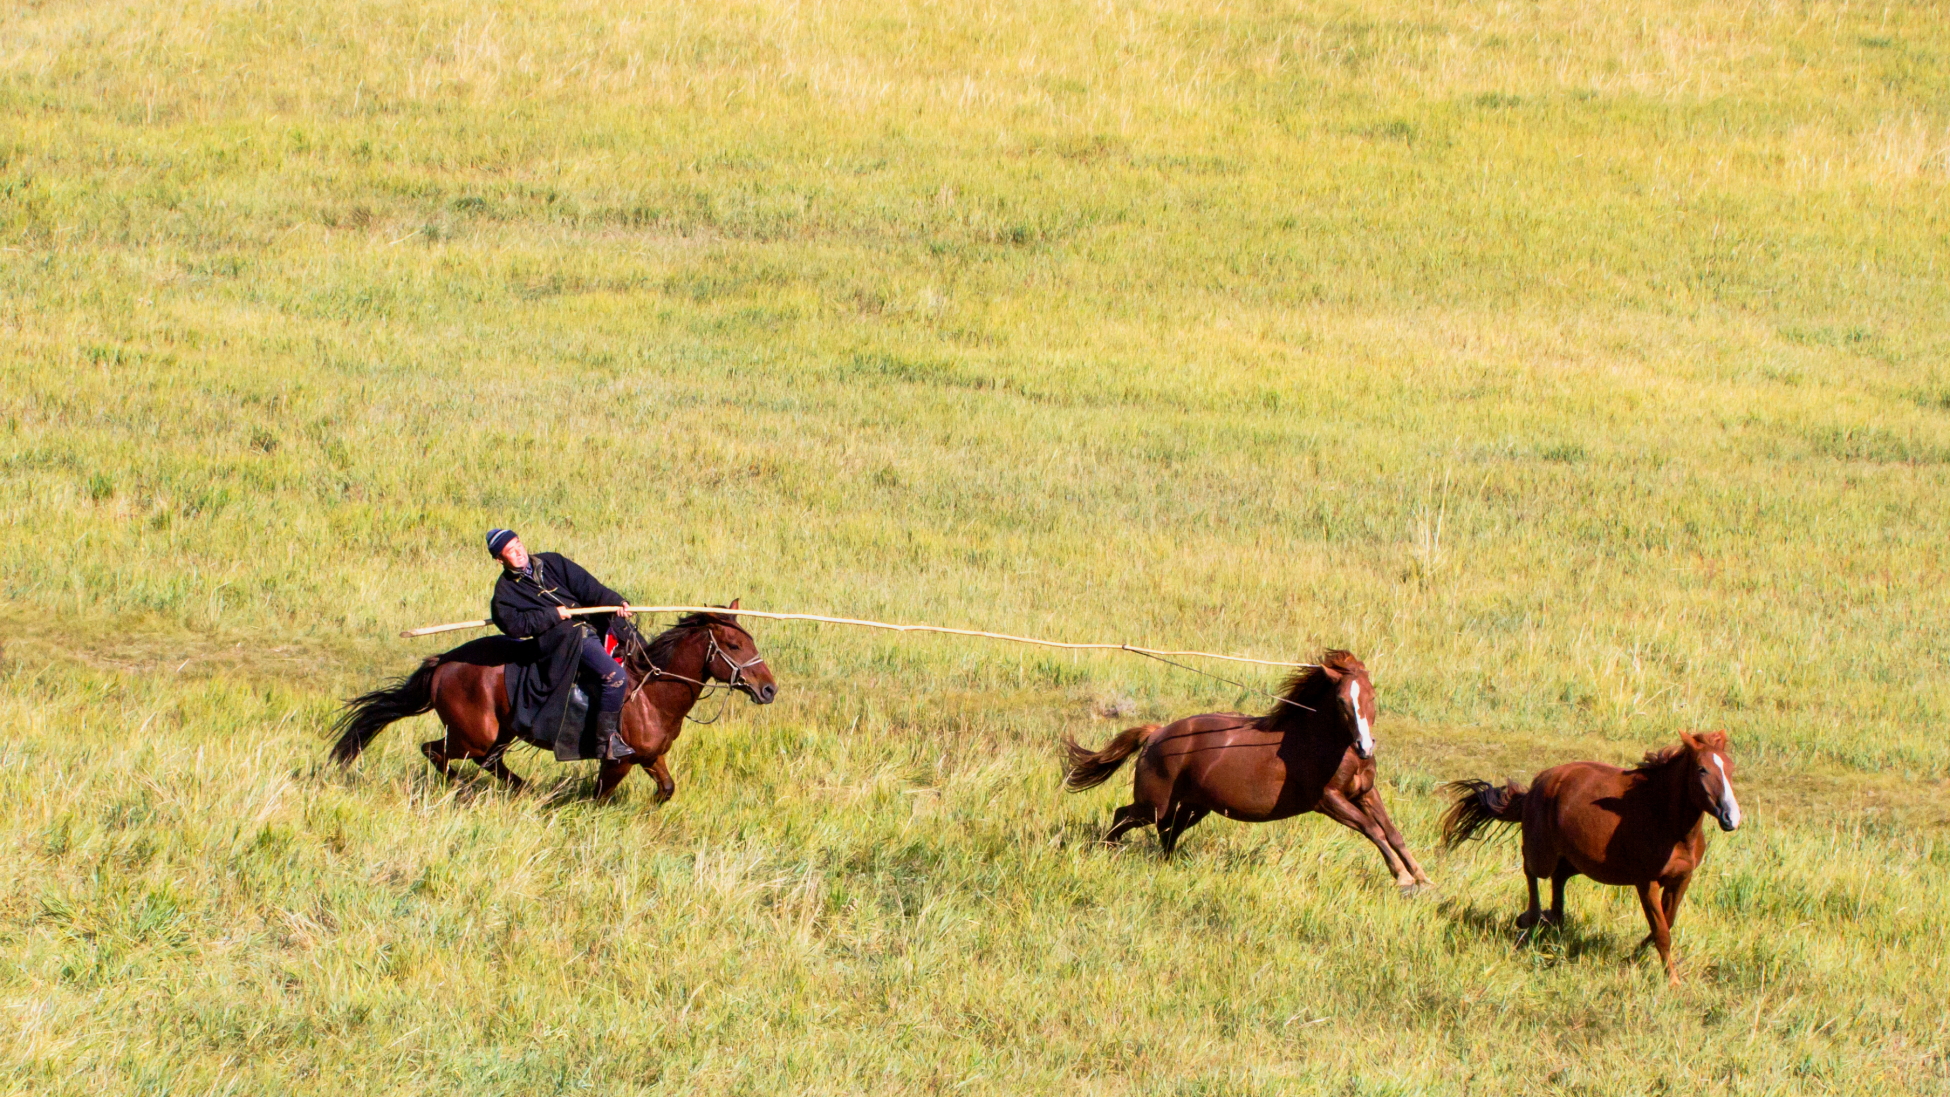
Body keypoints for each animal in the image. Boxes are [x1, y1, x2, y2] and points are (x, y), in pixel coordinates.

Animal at [329, 604, 776, 802]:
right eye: (734, 645)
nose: (769, 689)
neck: (651, 693)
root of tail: (444, 662)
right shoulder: (618, 761)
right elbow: (599, 796)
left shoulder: (651, 757)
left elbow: (666, 788)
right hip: (472, 734)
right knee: (437, 752)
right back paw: (465, 788)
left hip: (500, 733)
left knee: (488, 762)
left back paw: (523, 790)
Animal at [1068, 650, 1435, 892]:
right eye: (1342, 701)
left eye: (1372, 696)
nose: (1365, 746)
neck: (1330, 745)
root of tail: (1156, 733)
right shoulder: (1327, 800)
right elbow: (1371, 829)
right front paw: (1403, 878)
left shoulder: (1365, 793)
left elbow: (1392, 832)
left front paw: (1422, 877)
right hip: (1155, 803)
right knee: (1124, 816)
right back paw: (1108, 852)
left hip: (1193, 806)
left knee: (1167, 832)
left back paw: (1169, 864)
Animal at [1443, 732, 1747, 982]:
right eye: (1702, 769)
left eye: (1730, 768)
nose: (1731, 817)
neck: (1669, 824)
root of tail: (1537, 785)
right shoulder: (1646, 882)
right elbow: (1661, 930)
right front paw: (1671, 980)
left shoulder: (1681, 878)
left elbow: (1665, 923)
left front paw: (1632, 959)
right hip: (1543, 851)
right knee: (1531, 869)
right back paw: (1530, 918)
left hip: (1575, 860)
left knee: (1558, 879)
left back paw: (1552, 919)